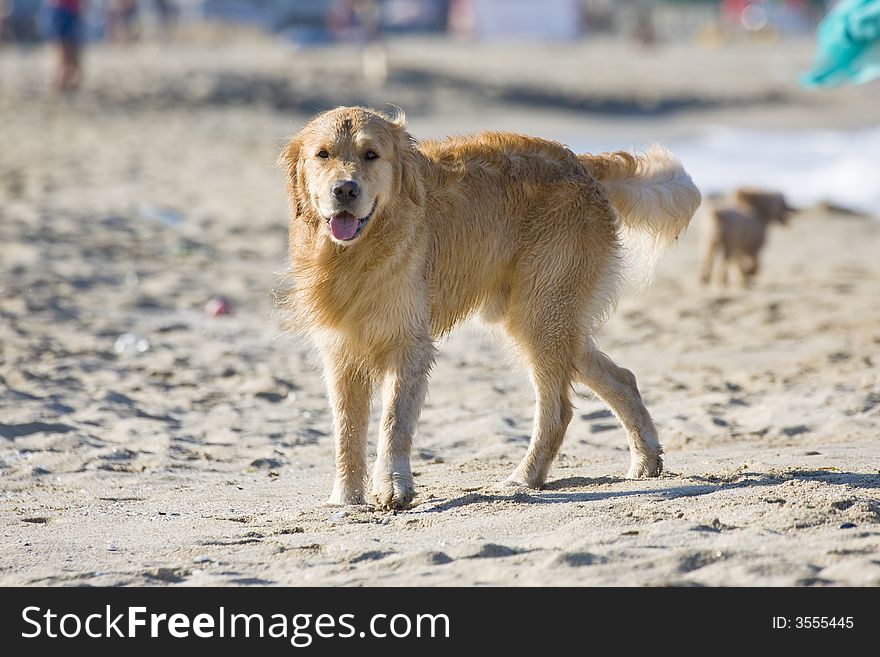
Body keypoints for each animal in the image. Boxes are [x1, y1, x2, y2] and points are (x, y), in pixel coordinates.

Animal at [278, 105, 696, 510]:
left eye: (371, 154)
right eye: (323, 155)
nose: (345, 190)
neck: (356, 254)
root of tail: (579, 161)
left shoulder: (408, 345)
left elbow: (393, 423)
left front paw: (393, 488)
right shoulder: (340, 351)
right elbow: (346, 433)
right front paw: (345, 500)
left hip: (540, 316)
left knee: (558, 410)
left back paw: (524, 479)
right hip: (548, 319)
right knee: (621, 376)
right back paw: (645, 461)